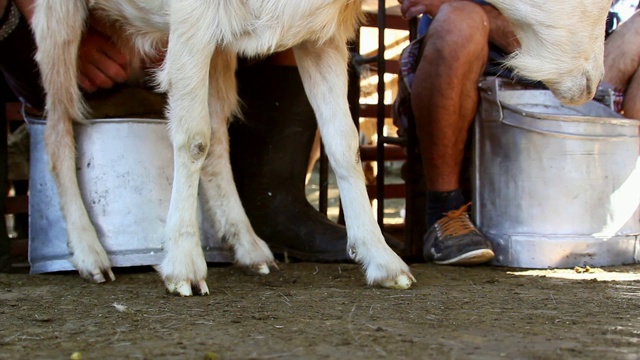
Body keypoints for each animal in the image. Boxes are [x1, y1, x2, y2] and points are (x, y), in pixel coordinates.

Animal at [31, 0, 608, 296]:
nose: (591, 84)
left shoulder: (318, 33)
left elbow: (344, 142)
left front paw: (380, 259)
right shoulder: (192, 20)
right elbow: (189, 138)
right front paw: (182, 265)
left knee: (219, 138)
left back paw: (250, 248)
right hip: (57, 17)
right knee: (60, 131)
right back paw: (89, 254)